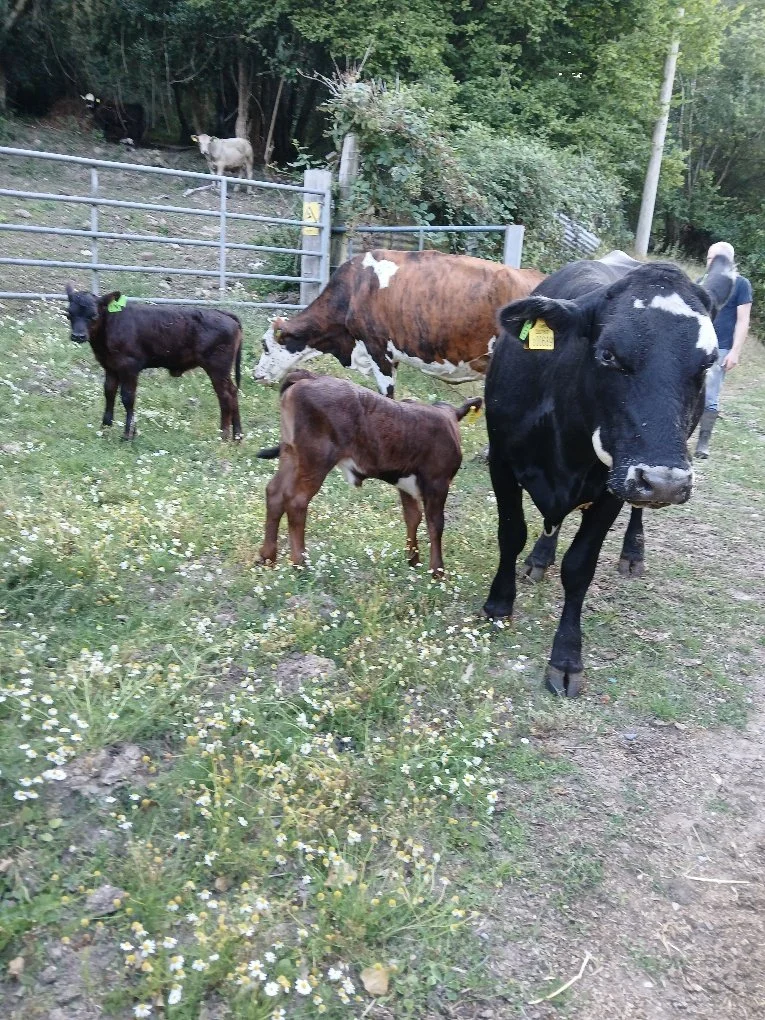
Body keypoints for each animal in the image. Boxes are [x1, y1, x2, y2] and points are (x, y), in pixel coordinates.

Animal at [64, 286, 243, 440]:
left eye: (93, 315)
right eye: (69, 314)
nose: (78, 336)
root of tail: (225, 314)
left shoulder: (129, 366)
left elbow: (128, 397)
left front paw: (128, 435)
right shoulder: (110, 367)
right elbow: (109, 393)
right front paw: (105, 430)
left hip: (217, 367)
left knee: (225, 396)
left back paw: (224, 437)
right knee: (233, 392)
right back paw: (237, 437)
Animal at [256, 370, 482, 573]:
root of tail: (310, 376)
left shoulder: (405, 483)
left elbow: (413, 517)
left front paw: (413, 560)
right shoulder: (438, 481)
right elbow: (435, 524)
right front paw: (437, 571)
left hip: (291, 454)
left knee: (275, 492)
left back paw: (267, 558)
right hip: (315, 459)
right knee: (296, 501)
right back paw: (299, 563)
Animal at [482, 250, 737, 698]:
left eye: (706, 364)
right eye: (607, 355)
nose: (665, 481)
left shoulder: (611, 489)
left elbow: (579, 567)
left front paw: (566, 659)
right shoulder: (501, 460)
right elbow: (511, 534)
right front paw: (499, 604)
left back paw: (632, 552)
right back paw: (540, 558)